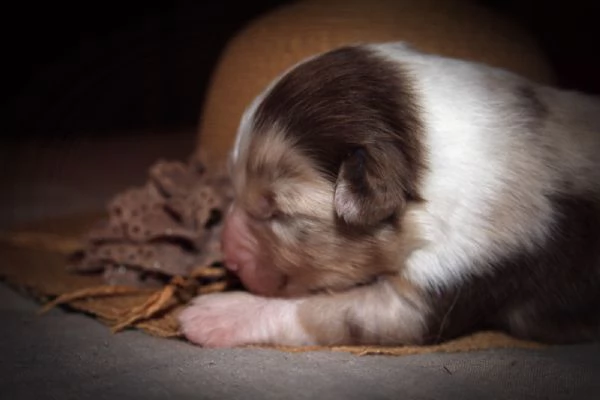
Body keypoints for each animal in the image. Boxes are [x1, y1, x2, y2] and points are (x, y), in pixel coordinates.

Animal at [177, 41, 600, 346]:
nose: (229, 259)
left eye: (279, 213)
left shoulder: (452, 276)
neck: (430, 150)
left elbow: (320, 312)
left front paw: (218, 314)